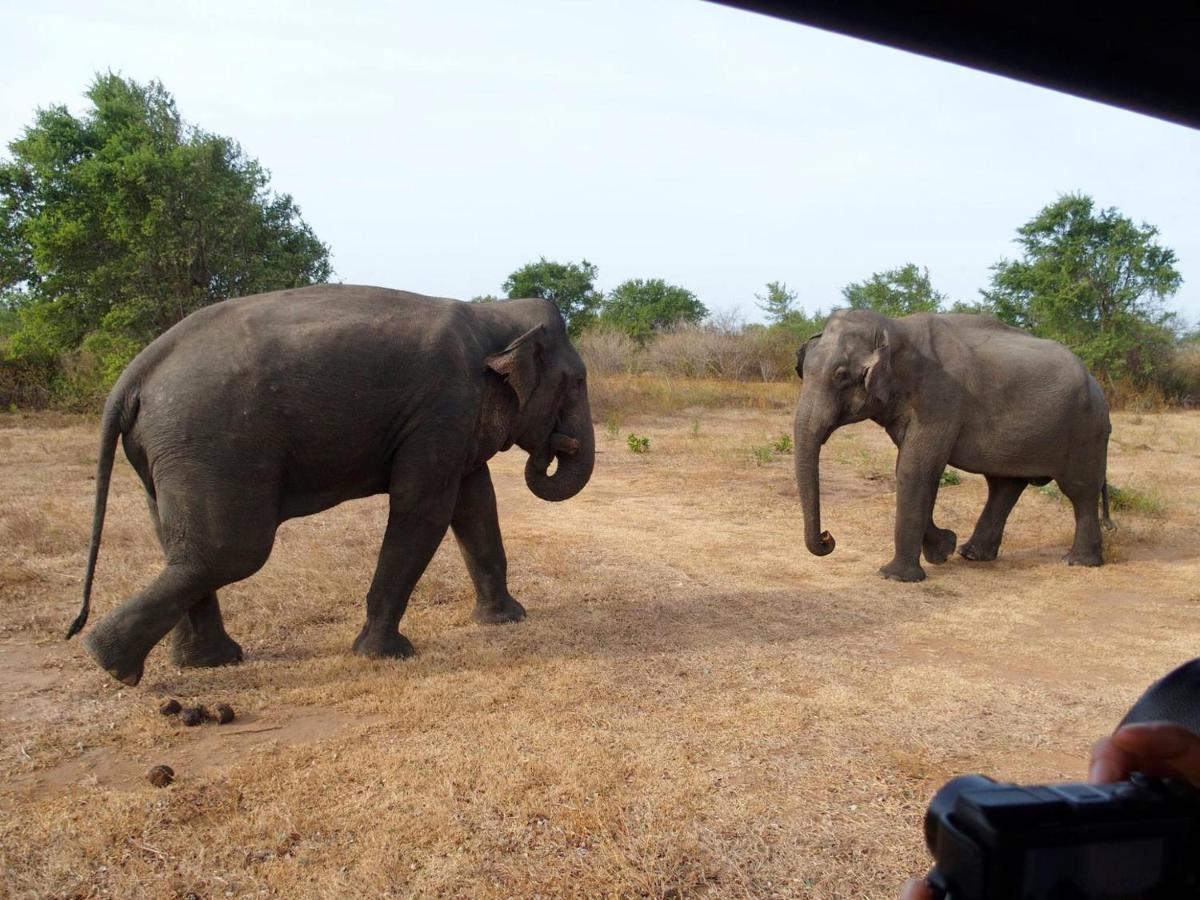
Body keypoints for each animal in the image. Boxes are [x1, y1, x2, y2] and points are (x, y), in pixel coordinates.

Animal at [66, 285, 595, 686]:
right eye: (577, 382)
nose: (555, 446)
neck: (492, 314)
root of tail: (134, 374)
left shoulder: (452, 421)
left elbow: (475, 504)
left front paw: (507, 619)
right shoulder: (443, 408)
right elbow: (423, 508)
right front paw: (385, 654)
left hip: (167, 454)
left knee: (183, 549)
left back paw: (199, 662)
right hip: (210, 443)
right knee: (230, 551)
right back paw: (111, 663)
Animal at [796, 309, 1113, 585]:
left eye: (840, 375)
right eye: (803, 371)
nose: (827, 537)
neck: (895, 328)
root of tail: (1095, 382)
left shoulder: (940, 399)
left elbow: (916, 469)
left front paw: (895, 576)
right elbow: (909, 467)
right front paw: (943, 549)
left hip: (1086, 430)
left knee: (1080, 490)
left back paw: (1078, 562)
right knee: (1005, 486)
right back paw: (971, 555)